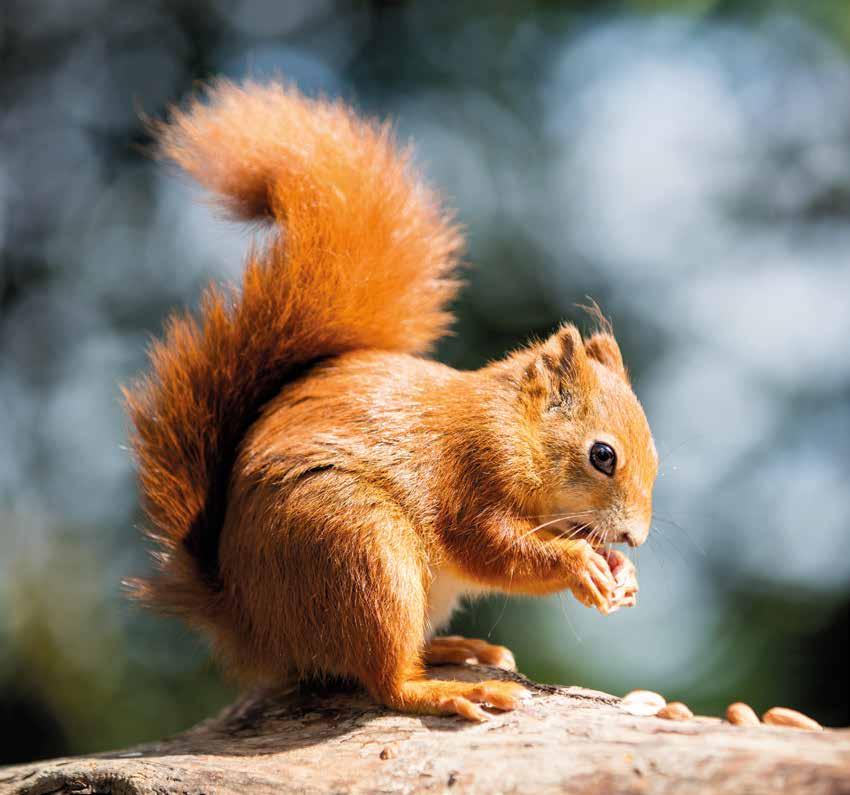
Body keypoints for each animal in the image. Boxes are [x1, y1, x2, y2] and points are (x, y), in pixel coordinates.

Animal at [126, 79, 656, 720]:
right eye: (603, 456)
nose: (636, 537)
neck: (515, 429)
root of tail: (254, 628)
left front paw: (622, 572)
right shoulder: (470, 474)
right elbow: (490, 547)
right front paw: (580, 564)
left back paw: (458, 648)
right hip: (361, 550)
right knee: (386, 680)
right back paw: (451, 689)